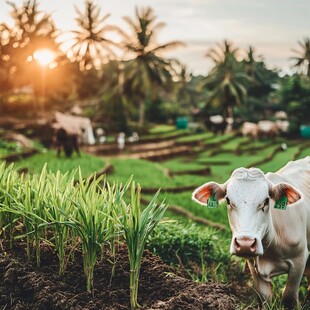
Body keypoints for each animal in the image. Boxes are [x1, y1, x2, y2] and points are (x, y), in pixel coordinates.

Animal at [193, 156, 310, 308]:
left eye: (266, 201)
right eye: (228, 200)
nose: (245, 243)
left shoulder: (299, 259)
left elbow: (289, 297)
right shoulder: (253, 264)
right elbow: (264, 297)